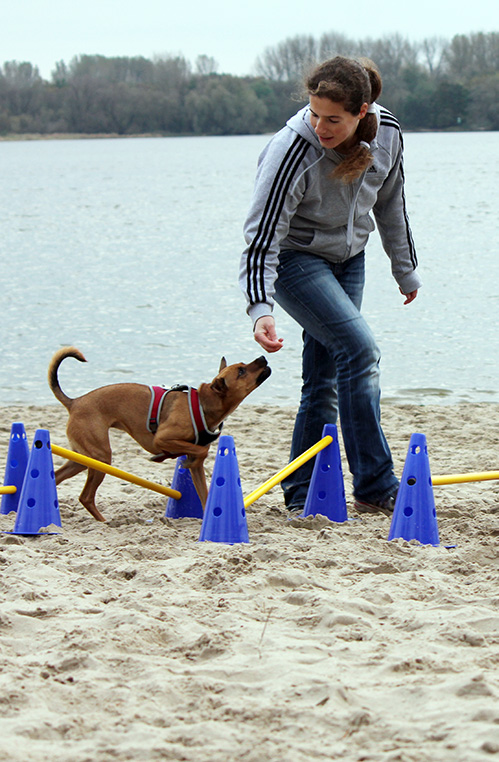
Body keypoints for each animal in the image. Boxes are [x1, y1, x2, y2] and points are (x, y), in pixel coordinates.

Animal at [48, 346, 272, 520]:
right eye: (241, 371)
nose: (263, 357)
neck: (203, 404)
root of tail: (74, 402)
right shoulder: (163, 438)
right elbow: (198, 452)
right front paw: (167, 457)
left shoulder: (196, 466)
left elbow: (204, 491)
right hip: (100, 456)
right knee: (86, 496)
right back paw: (103, 522)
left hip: (82, 458)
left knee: (59, 480)